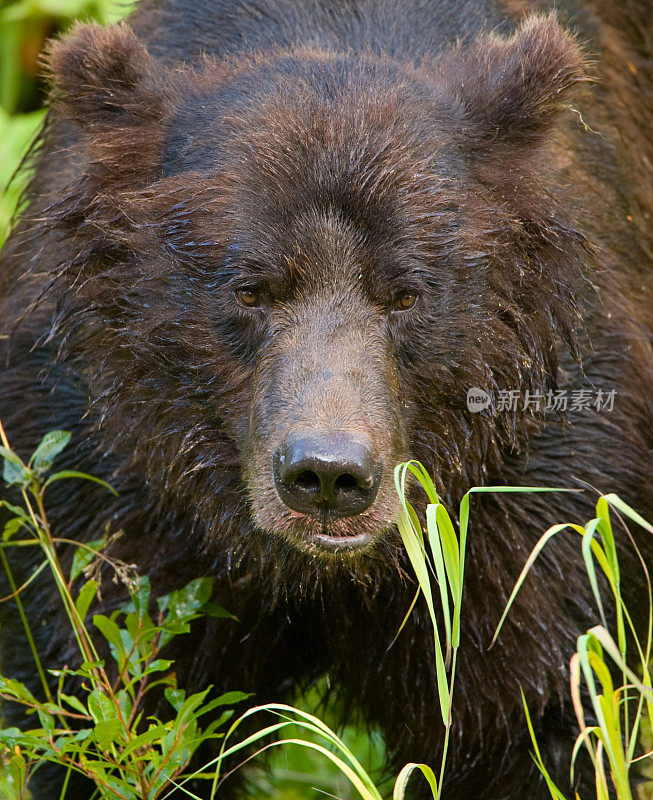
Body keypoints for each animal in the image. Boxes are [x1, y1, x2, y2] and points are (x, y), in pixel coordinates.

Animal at [0, 0, 648, 796]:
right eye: (251, 289)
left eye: (405, 292)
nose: (329, 474)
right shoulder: (109, 477)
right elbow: (92, 700)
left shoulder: (532, 492)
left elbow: (543, 713)